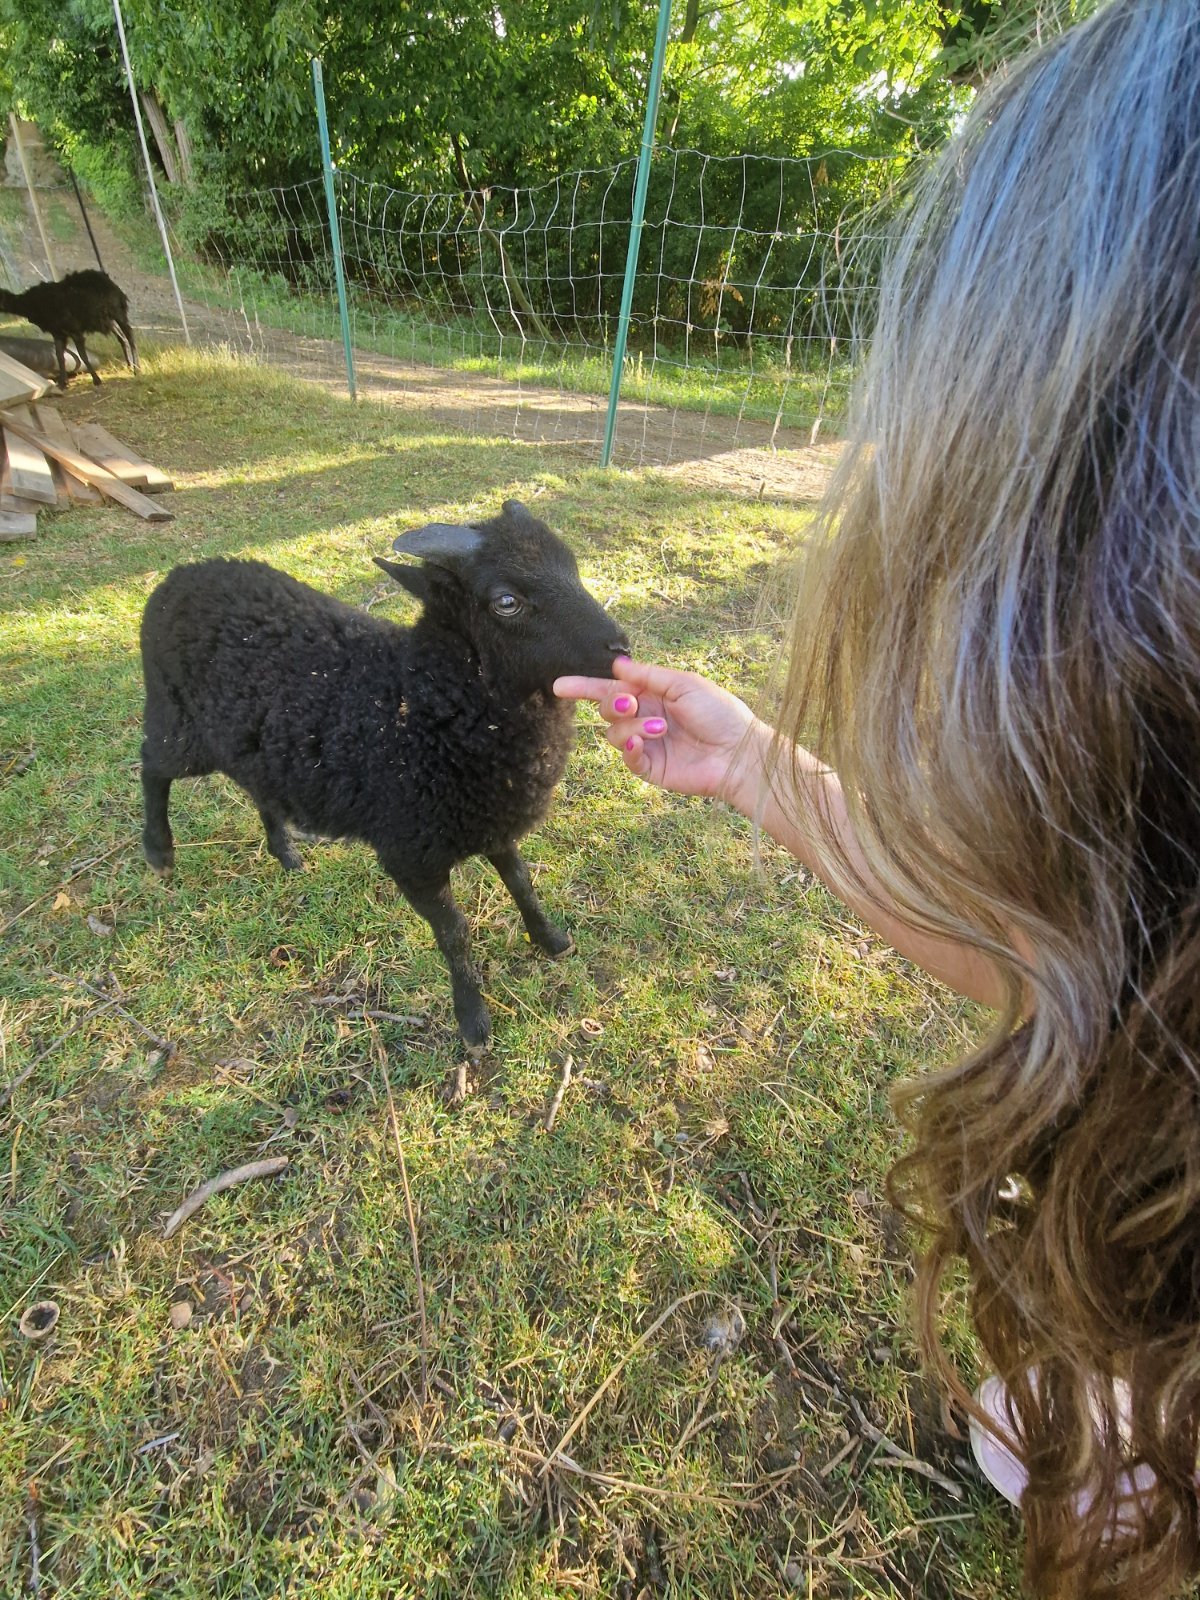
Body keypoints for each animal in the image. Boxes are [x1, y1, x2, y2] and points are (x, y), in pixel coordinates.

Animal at [0, 269, 138, 389]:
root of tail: (105, 277)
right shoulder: (58, 332)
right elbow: (59, 356)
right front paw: (62, 383)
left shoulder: (73, 329)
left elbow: (82, 355)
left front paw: (96, 380)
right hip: (106, 319)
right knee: (121, 337)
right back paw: (129, 365)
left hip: (117, 311)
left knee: (129, 334)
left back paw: (137, 368)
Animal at [139, 499, 629, 1051]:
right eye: (507, 602)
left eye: (571, 564)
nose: (621, 650)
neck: (422, 702)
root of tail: (179, 576)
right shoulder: (409, 855)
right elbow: (454, 931)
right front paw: (472, 1018)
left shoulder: (491, 821)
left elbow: (522, 883)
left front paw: (550, 940)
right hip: (179, 724)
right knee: (151, 765)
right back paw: (159, 852)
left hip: (253, 745)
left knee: (255, 787)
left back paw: (284, 852)